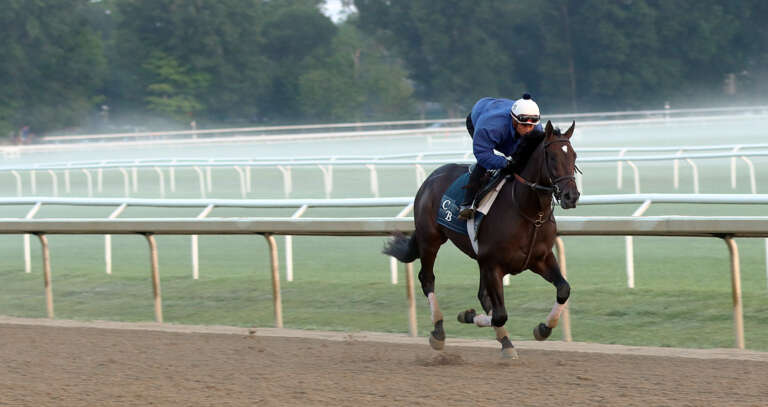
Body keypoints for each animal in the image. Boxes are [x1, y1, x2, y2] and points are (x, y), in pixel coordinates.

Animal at [382, 119, 576, 358]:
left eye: (574, 156)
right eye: (553, 158)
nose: (571, 196)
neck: (529, 212)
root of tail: (431, 177)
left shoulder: (540, 258)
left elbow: (563, 289)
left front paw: (543, 328)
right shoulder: (493, 264)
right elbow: (500, 314)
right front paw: (467, 316)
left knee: (483, 295)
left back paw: (505, 341)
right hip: (430, 239)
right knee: (427, 279)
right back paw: (438, 331)